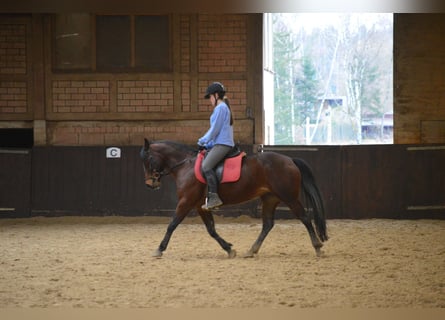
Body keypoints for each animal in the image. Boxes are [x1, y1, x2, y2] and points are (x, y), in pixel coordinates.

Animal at [140, 139, 328, 258]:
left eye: (148, 159)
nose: (150, 184)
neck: (185, 165)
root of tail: (290, 160)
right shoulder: (200, 206)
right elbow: (211, 229)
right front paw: (229, 249)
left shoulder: (186, 202)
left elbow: (172, 224)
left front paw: (159, 249)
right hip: (270, 198)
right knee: (267, 224)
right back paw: (251, 250)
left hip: (288, 197)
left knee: (304, 218)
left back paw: (318, 247)